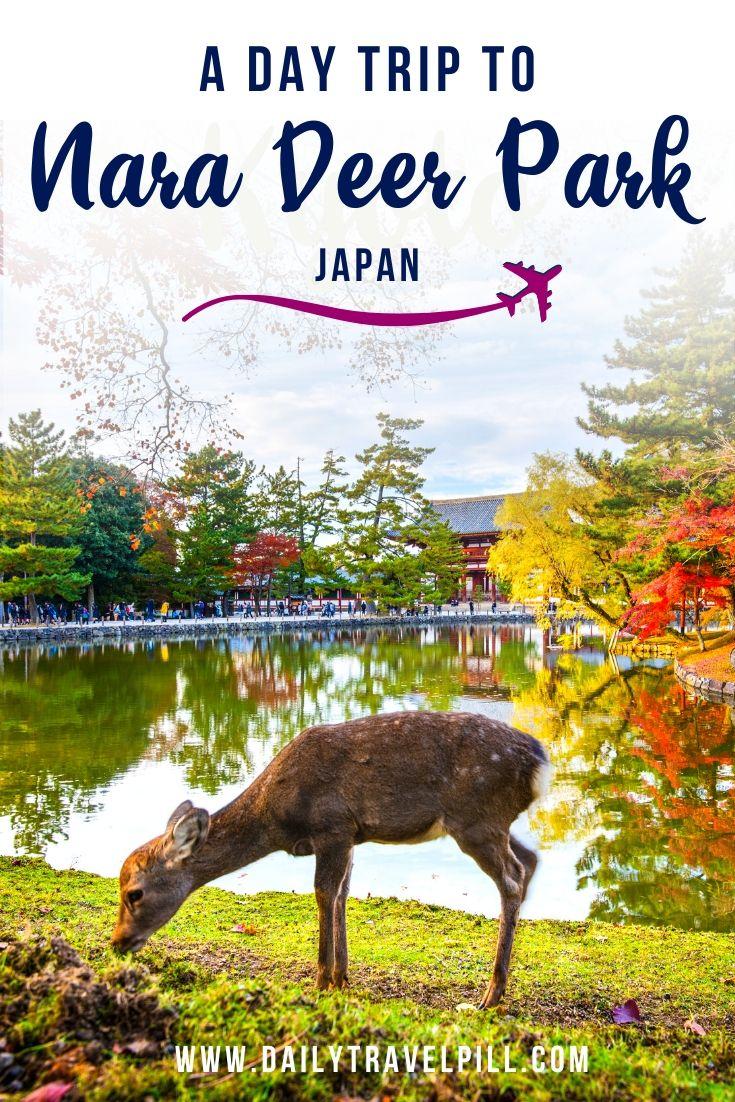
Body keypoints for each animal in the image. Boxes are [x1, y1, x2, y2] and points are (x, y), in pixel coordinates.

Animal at [112, 711, 550, 1008]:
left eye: (134, 893)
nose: (117, 942)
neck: (276, 816)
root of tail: (540, 762)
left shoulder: (332, 826)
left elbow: (324, 893)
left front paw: (322, 980)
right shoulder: (350, 835)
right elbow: (342, 893)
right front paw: (342, 978)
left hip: (476, 817)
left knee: (512, 877)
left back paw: (491, 994)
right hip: (490, 822)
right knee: (529, 860)